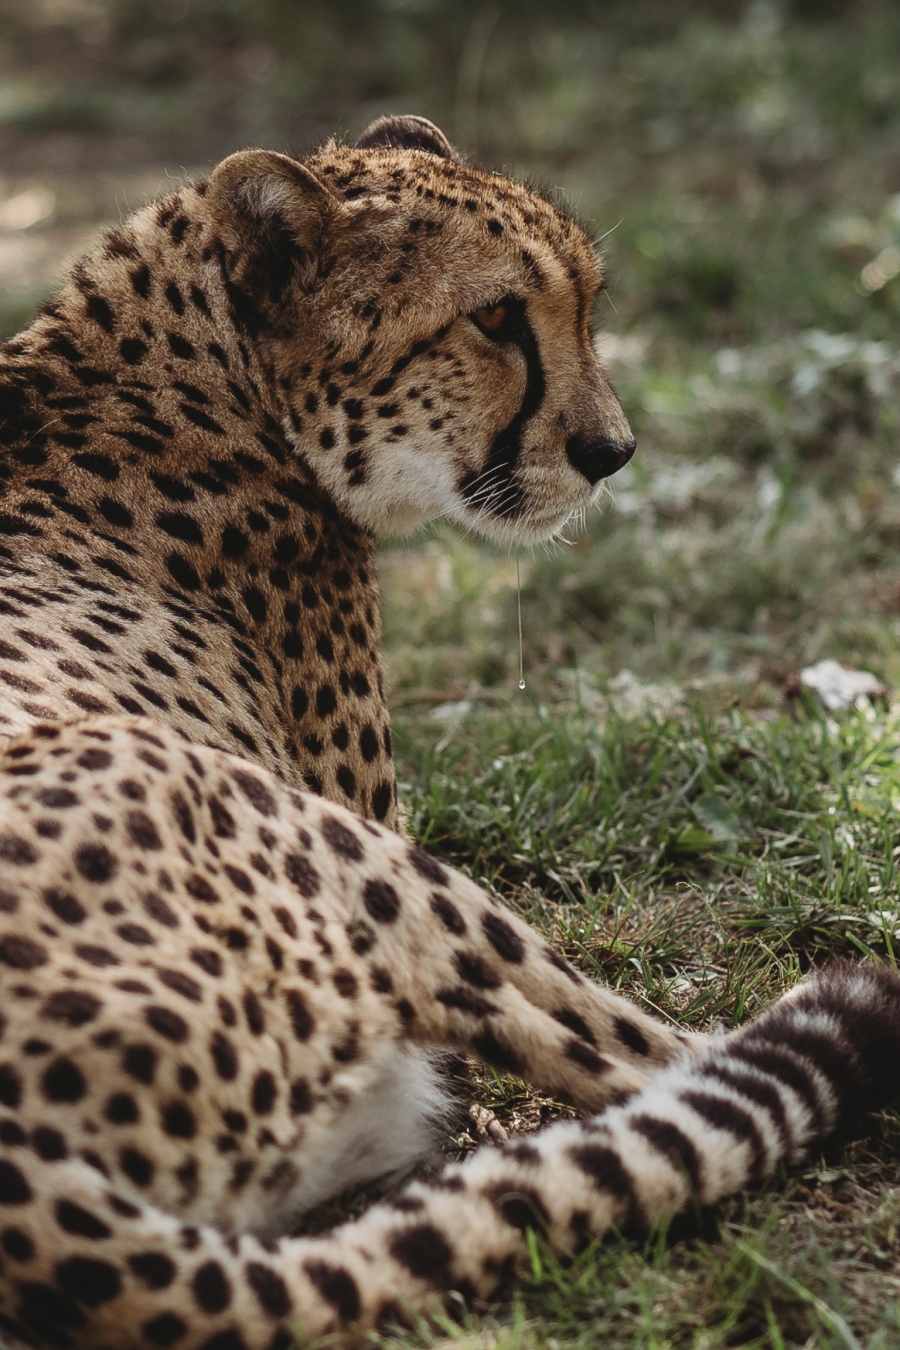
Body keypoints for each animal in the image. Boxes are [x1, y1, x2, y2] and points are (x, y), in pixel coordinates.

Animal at [0, 116, 895, 1350]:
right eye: (496, 318)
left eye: (588, 304)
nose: (613, 453)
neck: (200, 365)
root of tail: (24, 1174)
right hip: (350, 854)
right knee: (645, 1058)